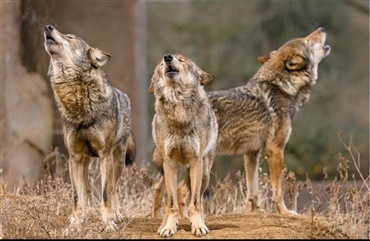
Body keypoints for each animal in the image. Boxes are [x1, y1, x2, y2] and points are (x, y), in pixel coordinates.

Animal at [43, 24, 136, 232]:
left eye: (70, 37)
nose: (47, 27)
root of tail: (124, 95)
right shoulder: (75, 157)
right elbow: (77, 197)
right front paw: (75, 225)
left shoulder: (104, 155)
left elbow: (106, 193)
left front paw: (108, 223)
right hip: (84, 163)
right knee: (85, 190)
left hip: (118, 161)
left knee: (113, 187)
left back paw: (116, 215)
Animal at [147, 53, 217, 236]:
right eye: (160, 64)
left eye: (182, 60)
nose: (167, 57)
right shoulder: (169, 163)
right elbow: (171, 203)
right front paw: (169, 227)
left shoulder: (195, 162)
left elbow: (195, 202)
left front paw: (198, 226)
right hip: (168, 170)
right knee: (165, 193)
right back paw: (163, 225)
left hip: (204, 173)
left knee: (197, 197)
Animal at [152, 26, 330, 217]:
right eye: (307, 41)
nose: (321, 28)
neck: (281, 88)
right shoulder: (275, 150)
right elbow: (277, 190)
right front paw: (285, 212)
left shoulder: (251, 153)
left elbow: (253, 191)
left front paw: (255, 212)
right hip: (200, 164)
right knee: (180, 190)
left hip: (175, 163)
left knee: (159, 189)